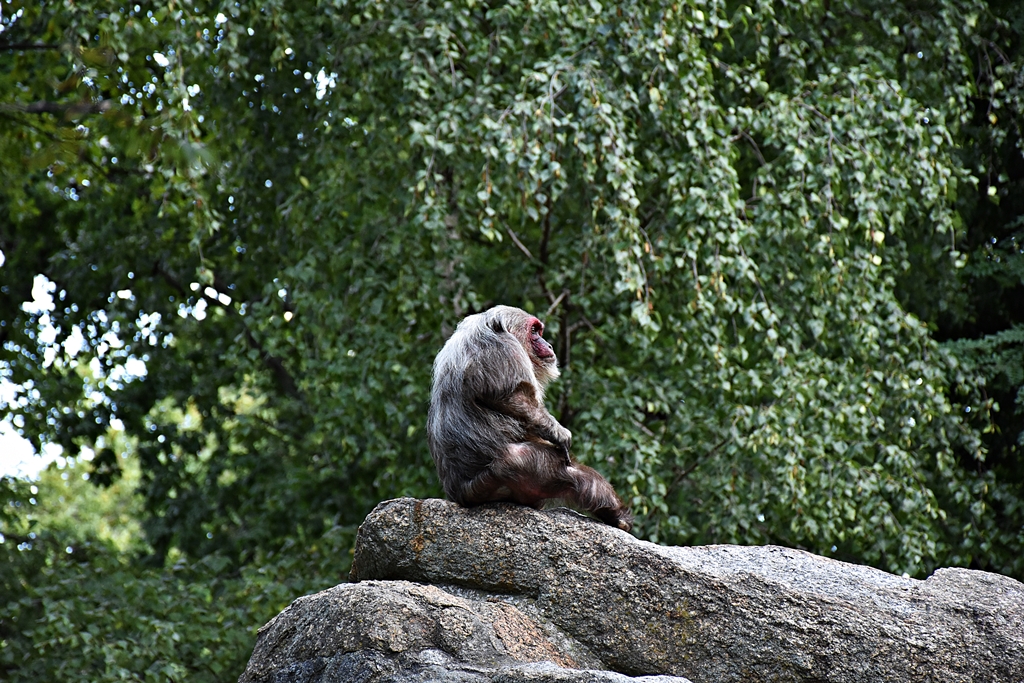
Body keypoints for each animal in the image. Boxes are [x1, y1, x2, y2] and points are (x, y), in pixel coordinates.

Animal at [427, 305, 633, 531]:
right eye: (534, 331)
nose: (548, 343)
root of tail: (464, 493)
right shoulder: (501, 349)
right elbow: (510, 395)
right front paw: (558, 432)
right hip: (519, 468)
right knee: (572, 473)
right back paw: (616, 515)